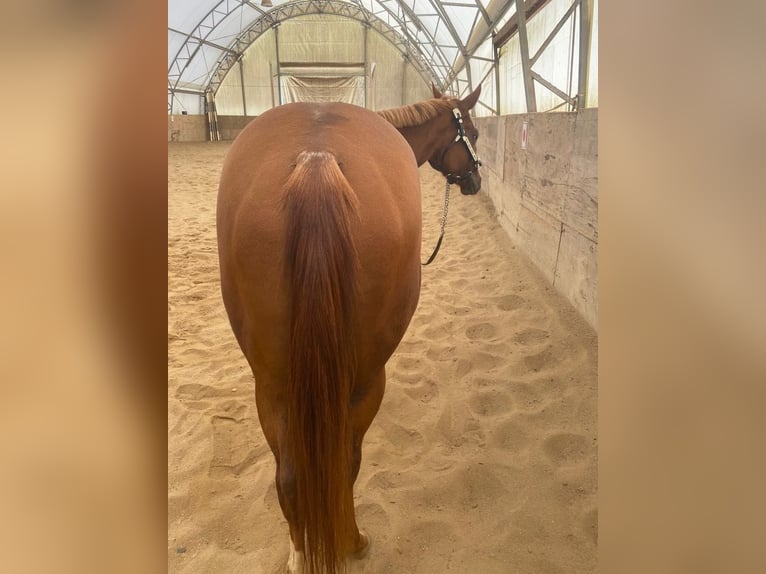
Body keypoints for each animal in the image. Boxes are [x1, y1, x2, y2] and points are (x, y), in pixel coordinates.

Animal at [216, 85, 480, 574]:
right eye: (470, 133)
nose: (475, 180)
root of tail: (317, 159)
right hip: (365, 380)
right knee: (346, 463)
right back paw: (352, 542)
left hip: (272, 384)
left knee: (289, 476)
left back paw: (300, 553)